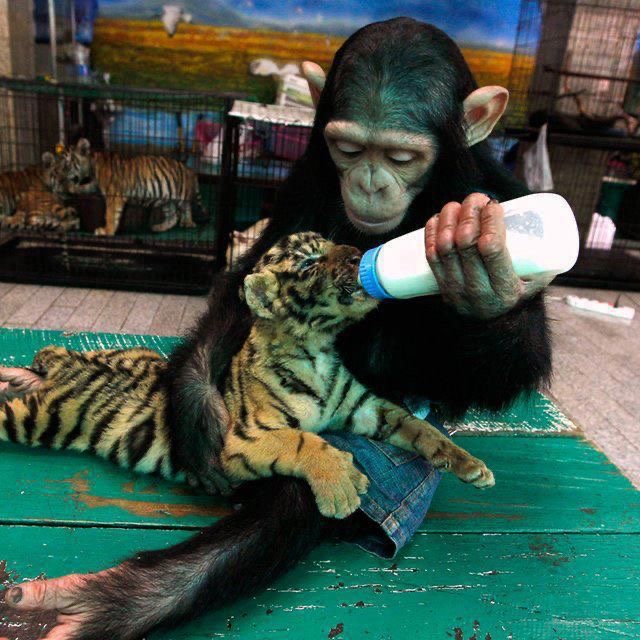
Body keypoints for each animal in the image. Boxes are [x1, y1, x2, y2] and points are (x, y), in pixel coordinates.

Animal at [3, 18, 552, 640]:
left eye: (401, 157)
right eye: (348, 150)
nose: (359, 251)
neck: (319, 350)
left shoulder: (368, 408)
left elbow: (416, 424)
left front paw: (466, 462)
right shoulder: (246, 440)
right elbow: (300, 438)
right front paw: (338, 479)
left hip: (114, 362)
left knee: (51, 359)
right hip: (37, 418)